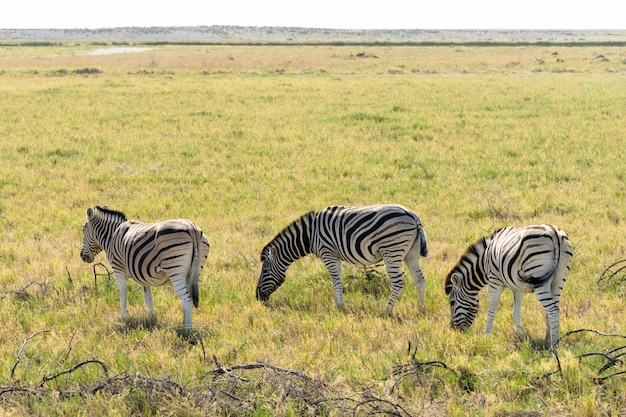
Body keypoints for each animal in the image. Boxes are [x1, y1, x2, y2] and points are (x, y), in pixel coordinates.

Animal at [80, 206, 210, 334]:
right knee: (189, 297)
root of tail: (191, 228)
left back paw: (186, 331)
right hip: (193, 272)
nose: (82, 256)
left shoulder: (118, 270)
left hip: (175, 270)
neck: (112, 236)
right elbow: (148, 299)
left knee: (186, 299)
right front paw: (153, 320)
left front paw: (124, 320)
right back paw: (183, 325)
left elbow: (123, 297)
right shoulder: (142, 274)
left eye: (83, 230)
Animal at [256, 205, 426, 312]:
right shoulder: (334, 255)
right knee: (420, 280)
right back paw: (421, 309)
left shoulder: (329, 254)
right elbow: (337, 281)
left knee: (397, 283)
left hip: (391, 250)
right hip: (410, 254)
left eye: (265, 271)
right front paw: (339, 305)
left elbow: (336, 281)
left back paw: (386, 311)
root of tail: (413, 216)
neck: (310, 235)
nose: (257, 297)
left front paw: (340, 307)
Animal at [444, 223, 572, 346]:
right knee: (551, 310)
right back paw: (547, 340)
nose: (454, 329)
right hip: (559, 278)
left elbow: (491, 309)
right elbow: (517, 314)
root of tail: (555, 234)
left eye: (452, 302)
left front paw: (486, 336)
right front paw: (520, 338)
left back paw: (554, 345)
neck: (484, 260)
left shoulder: (494, 280)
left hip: (539, 278)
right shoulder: (517, 287)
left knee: (553, 311)